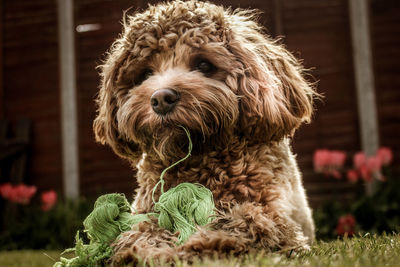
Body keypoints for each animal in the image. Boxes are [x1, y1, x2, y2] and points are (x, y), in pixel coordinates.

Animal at [93, 0, 316, 264]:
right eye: (145, 74)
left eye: (203, 65)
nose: (161, 98)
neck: (199, 156)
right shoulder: (147, 211)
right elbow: (142, 231)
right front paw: (145, 250)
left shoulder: (276, 219)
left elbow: (244, 221)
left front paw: (199, 245)